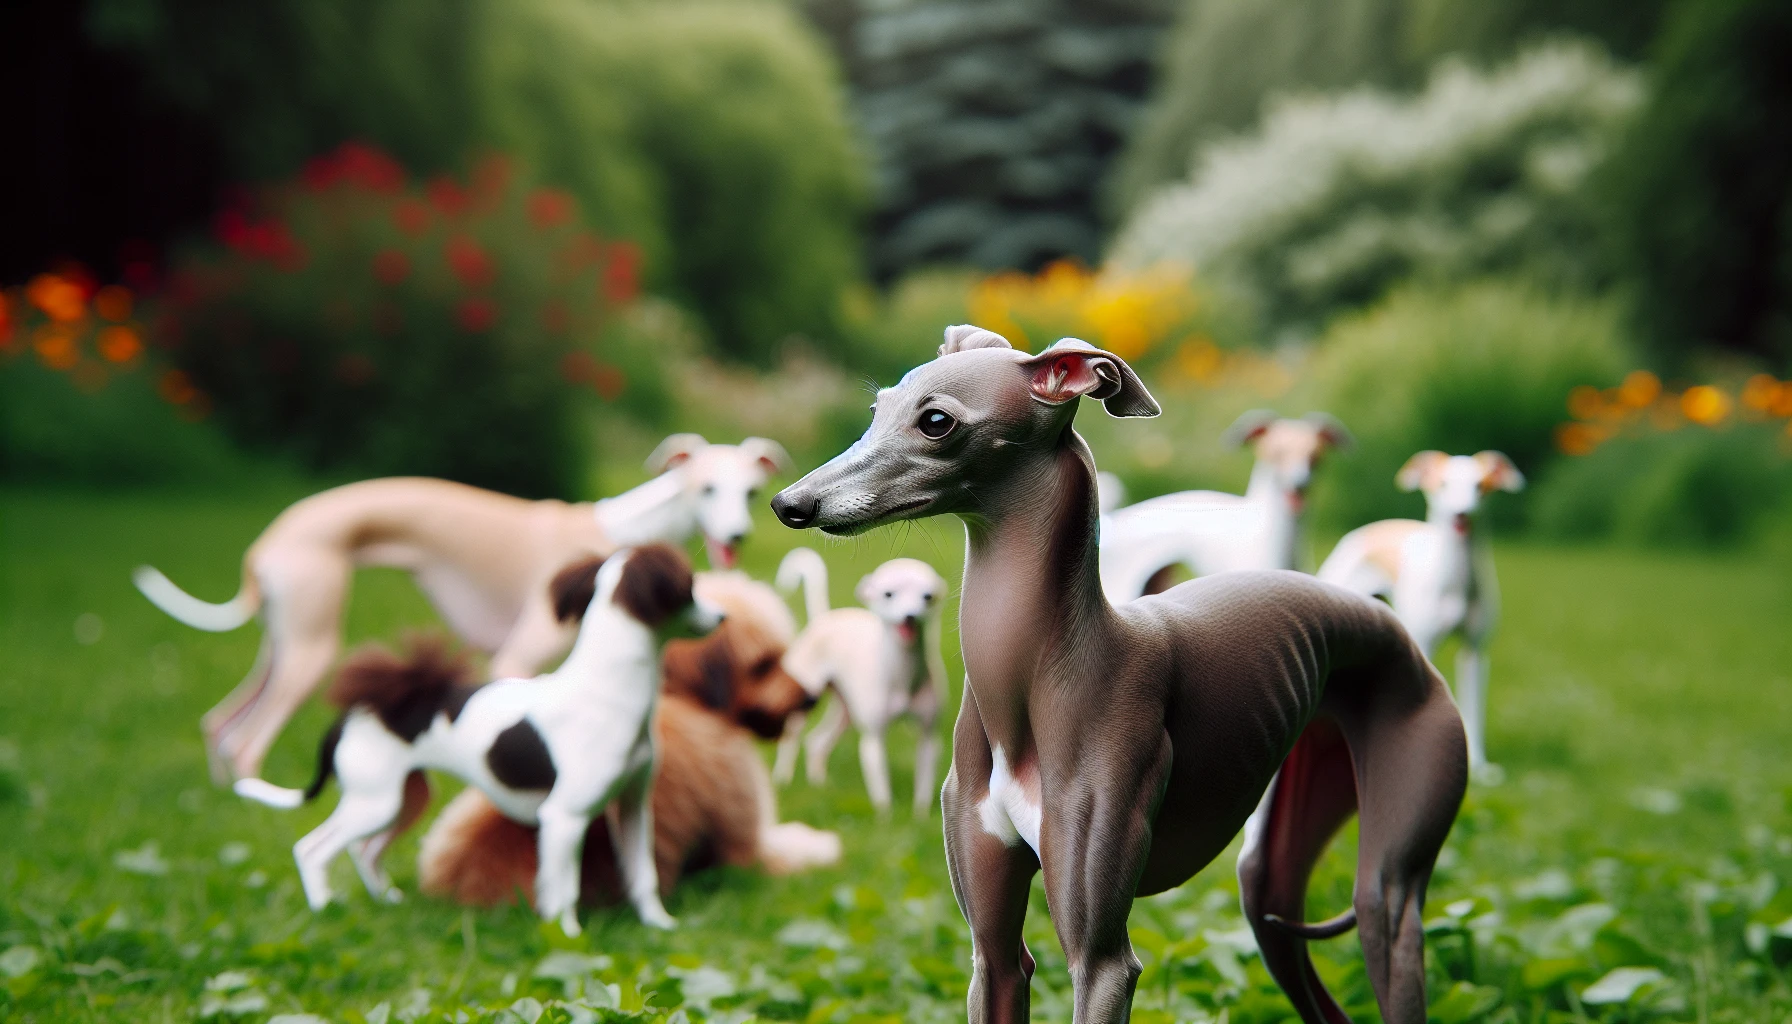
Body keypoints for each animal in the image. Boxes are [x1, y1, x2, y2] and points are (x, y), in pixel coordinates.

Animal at [129, 432, 788, 785]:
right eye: (706, 488)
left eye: (749, 491)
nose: (737, 535)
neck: (623, 528)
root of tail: (269, 542)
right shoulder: (516, 659)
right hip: (311, 651)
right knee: (246, 742)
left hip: (284, 642)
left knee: (220, 725)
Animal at [234, 545, 716, 939]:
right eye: (691, 589)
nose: (721, 616)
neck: (608, 690)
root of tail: (352, 713)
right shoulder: (564, 819)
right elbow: (563, 889)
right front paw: (568, 937)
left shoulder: (633, 806)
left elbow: (642, 874)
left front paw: (659, 925)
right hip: (375, 803)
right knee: (313, 850)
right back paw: (324, 910)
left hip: (407, 798)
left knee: (365, 850)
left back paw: (385, 902)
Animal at [777, 548, 960, 821]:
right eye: (888, 594)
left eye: (927, 596)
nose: (910, 616)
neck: (902, 677)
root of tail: (824, 618)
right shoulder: (874, 739)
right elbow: (881, 785)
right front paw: (886, 818)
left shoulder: (929, 737)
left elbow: (925, 784)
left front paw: (920, 816)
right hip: (804, 698)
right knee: (791, 737)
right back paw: (783, 779)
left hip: (845, 712)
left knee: (816, 742)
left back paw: (820, 784)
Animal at [1318, 448, 1526, 778]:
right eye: (1442, 484)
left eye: (1480, 485)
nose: (1461, 514)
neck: (1457, 583)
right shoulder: (1425, 647)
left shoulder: (1475, 653)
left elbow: (1473, 708)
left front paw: (1479, 768)